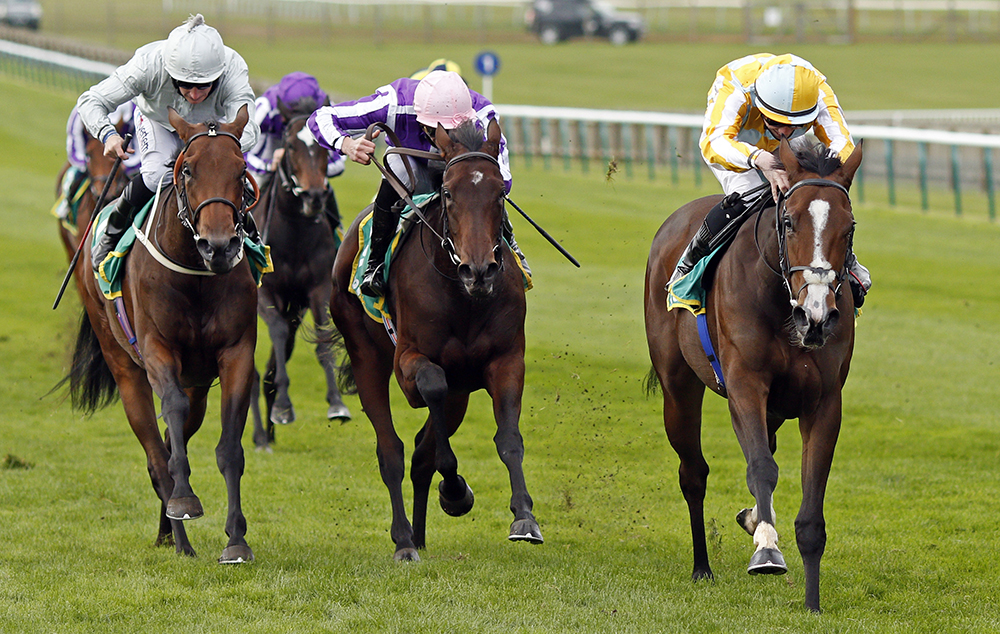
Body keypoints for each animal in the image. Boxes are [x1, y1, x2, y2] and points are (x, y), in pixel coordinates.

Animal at [69, 105, 260, 564]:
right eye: (187, 170)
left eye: (241, 170)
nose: (219, 246)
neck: (195, 276)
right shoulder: (158, 350)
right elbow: (169, 415)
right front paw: (186, 502)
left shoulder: (237, 352)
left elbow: (229, 448)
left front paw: (236, 539)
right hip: (124, 366)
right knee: (158, 455)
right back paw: (180, 535)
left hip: (198, 386)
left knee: (176, 441)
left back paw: (169, 531)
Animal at [250, 97, 352, 450]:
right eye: (291, 145)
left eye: (322, 148)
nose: (314, 196)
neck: (293, 234)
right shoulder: (265, 293)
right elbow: (279, 333)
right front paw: (283, 406)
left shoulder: (317, 289)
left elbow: (322, 340)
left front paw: (336, 403)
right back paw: (260, 435)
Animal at [332, 118, 544, 556]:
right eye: (448, 193)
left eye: (500, 193)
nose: (479, 271)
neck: (462, 297)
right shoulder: (409, 364)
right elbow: (432, 387)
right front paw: (456, 491)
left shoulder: (505, 360)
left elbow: (508, 438)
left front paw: (524, 516)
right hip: (366, 359)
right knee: (391, 451)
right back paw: (403, 540)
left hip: (461, 391)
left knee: (419, 452)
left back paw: (419, 534)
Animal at [644, 138, 864, 608]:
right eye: (789, 221)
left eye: (849, 227)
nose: (816, 317)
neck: (782, 305)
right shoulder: (745, 384)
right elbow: (761, 466)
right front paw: (766, 549)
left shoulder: (824, 401)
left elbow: (811, 508)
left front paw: (812, 602)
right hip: (678, 387)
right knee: (693, 473)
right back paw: (702, 566)